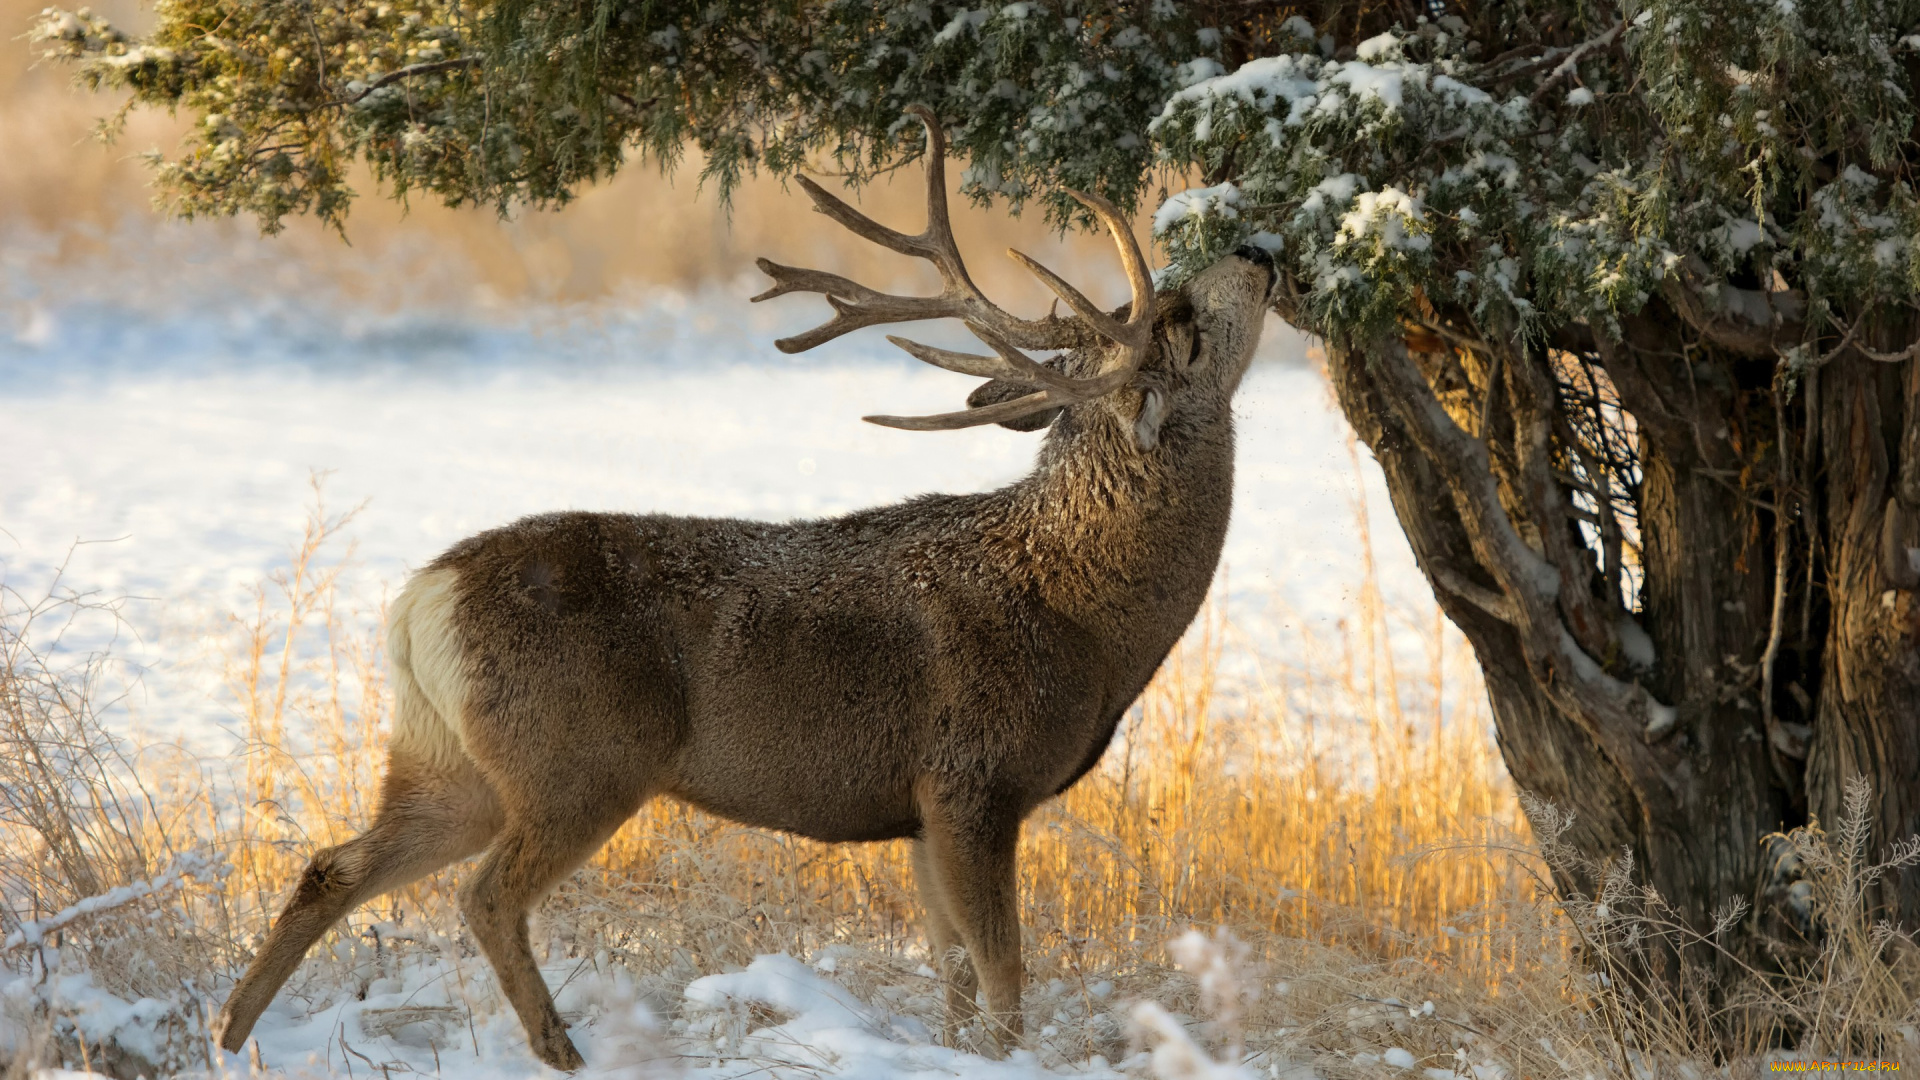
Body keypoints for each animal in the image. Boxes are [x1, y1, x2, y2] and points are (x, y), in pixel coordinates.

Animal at [210, 105, 1274, 1060]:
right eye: (1179, 323)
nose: (1258, 248)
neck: (1085, 613)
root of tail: (422, 599)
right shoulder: (974, 776)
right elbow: (1005, 969)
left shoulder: (920, 808)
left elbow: (954, 975)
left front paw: (955, 1049)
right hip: (581, 757)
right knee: (484, 895)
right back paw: (559, 1048)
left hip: (448, 760)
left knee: (333, 866)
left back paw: (229, 1036)